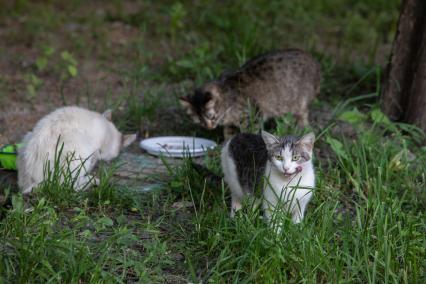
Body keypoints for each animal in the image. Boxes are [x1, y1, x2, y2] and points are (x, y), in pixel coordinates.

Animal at [179, 49, 320, 139]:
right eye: (199, 121)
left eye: (211, 117)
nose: (209, 127)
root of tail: (314, 61)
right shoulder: (230, 125)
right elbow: (229, 135)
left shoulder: (253, 116)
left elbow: (250, 131)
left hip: (299, 102)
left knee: (302, 117)